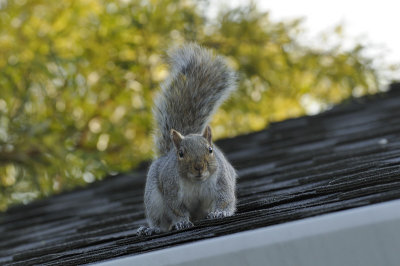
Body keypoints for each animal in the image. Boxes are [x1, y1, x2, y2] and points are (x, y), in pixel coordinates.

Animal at [138, 44, 238, 237]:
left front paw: (220, 213)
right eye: (181, 154)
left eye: (210, 150)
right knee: (160, 221)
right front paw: (182, 222)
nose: (199, 167)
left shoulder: (223, 180)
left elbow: (225, 199)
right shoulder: (171, 188)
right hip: (153, 200)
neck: (196, 181)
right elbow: (176, 209)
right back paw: (151, 229)